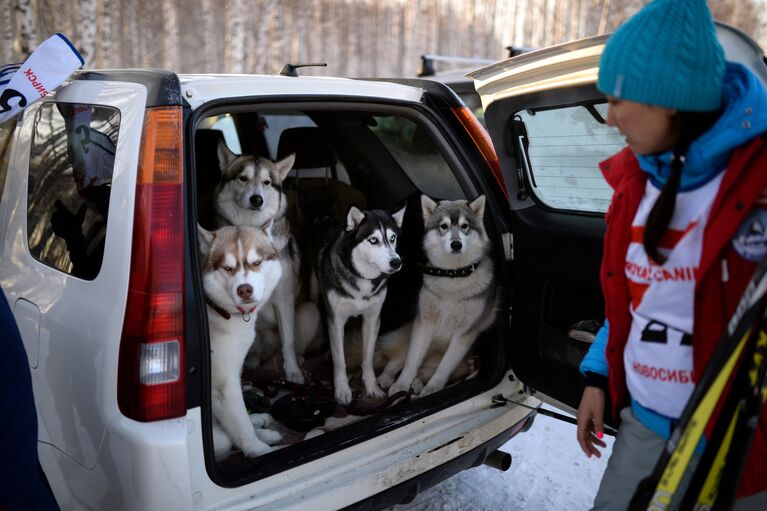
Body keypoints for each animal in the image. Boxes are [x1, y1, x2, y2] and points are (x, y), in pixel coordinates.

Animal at [213, 140, 318, 384]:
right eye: (243, 178)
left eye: (266, 182)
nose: (256, 199)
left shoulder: (283, 297)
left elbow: (288, 341)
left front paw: (293, 373)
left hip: (310, 312)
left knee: (292, 345)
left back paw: (296, 360)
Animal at [318, 205, 408, 404]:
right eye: (373, 240)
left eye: (393, 238)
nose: (396, 262)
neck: (362, 278)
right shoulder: (336, 320)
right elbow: (340, 360)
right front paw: (342, 390)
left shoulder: (372, 319)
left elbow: (367, 358)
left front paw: (371, 387)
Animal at [380, 194, 498, 398]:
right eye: (443, 226)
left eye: (465, 226)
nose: (456, 244)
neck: (453, 276)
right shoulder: (424, 324)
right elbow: (411, 361)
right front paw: (401, 385)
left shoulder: (465, 333)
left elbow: (444, 368)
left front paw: (432, 389)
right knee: (397, 361)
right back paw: (387, 380)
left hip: (458, 363)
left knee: (425, 371)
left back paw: (417, 384)